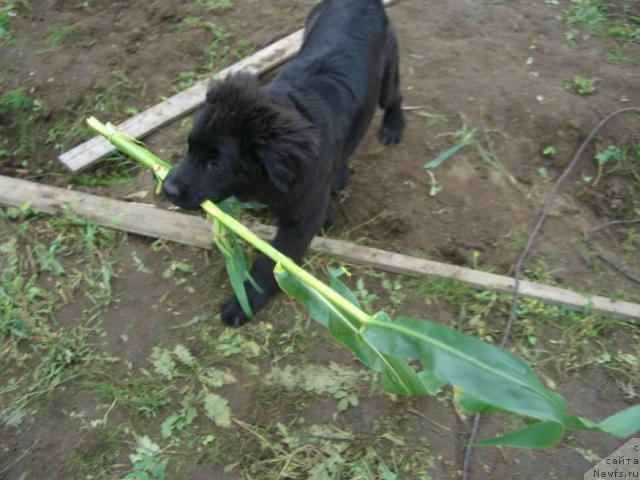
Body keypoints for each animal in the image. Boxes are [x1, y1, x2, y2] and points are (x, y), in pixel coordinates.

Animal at [162, 0, 402, 326]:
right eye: (189, 147)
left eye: (215, 165)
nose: (167, 189)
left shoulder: (301, 220)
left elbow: (270, 263)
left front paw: (243, 303)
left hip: (387, 72)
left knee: (394, 96)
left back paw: (393, 127)